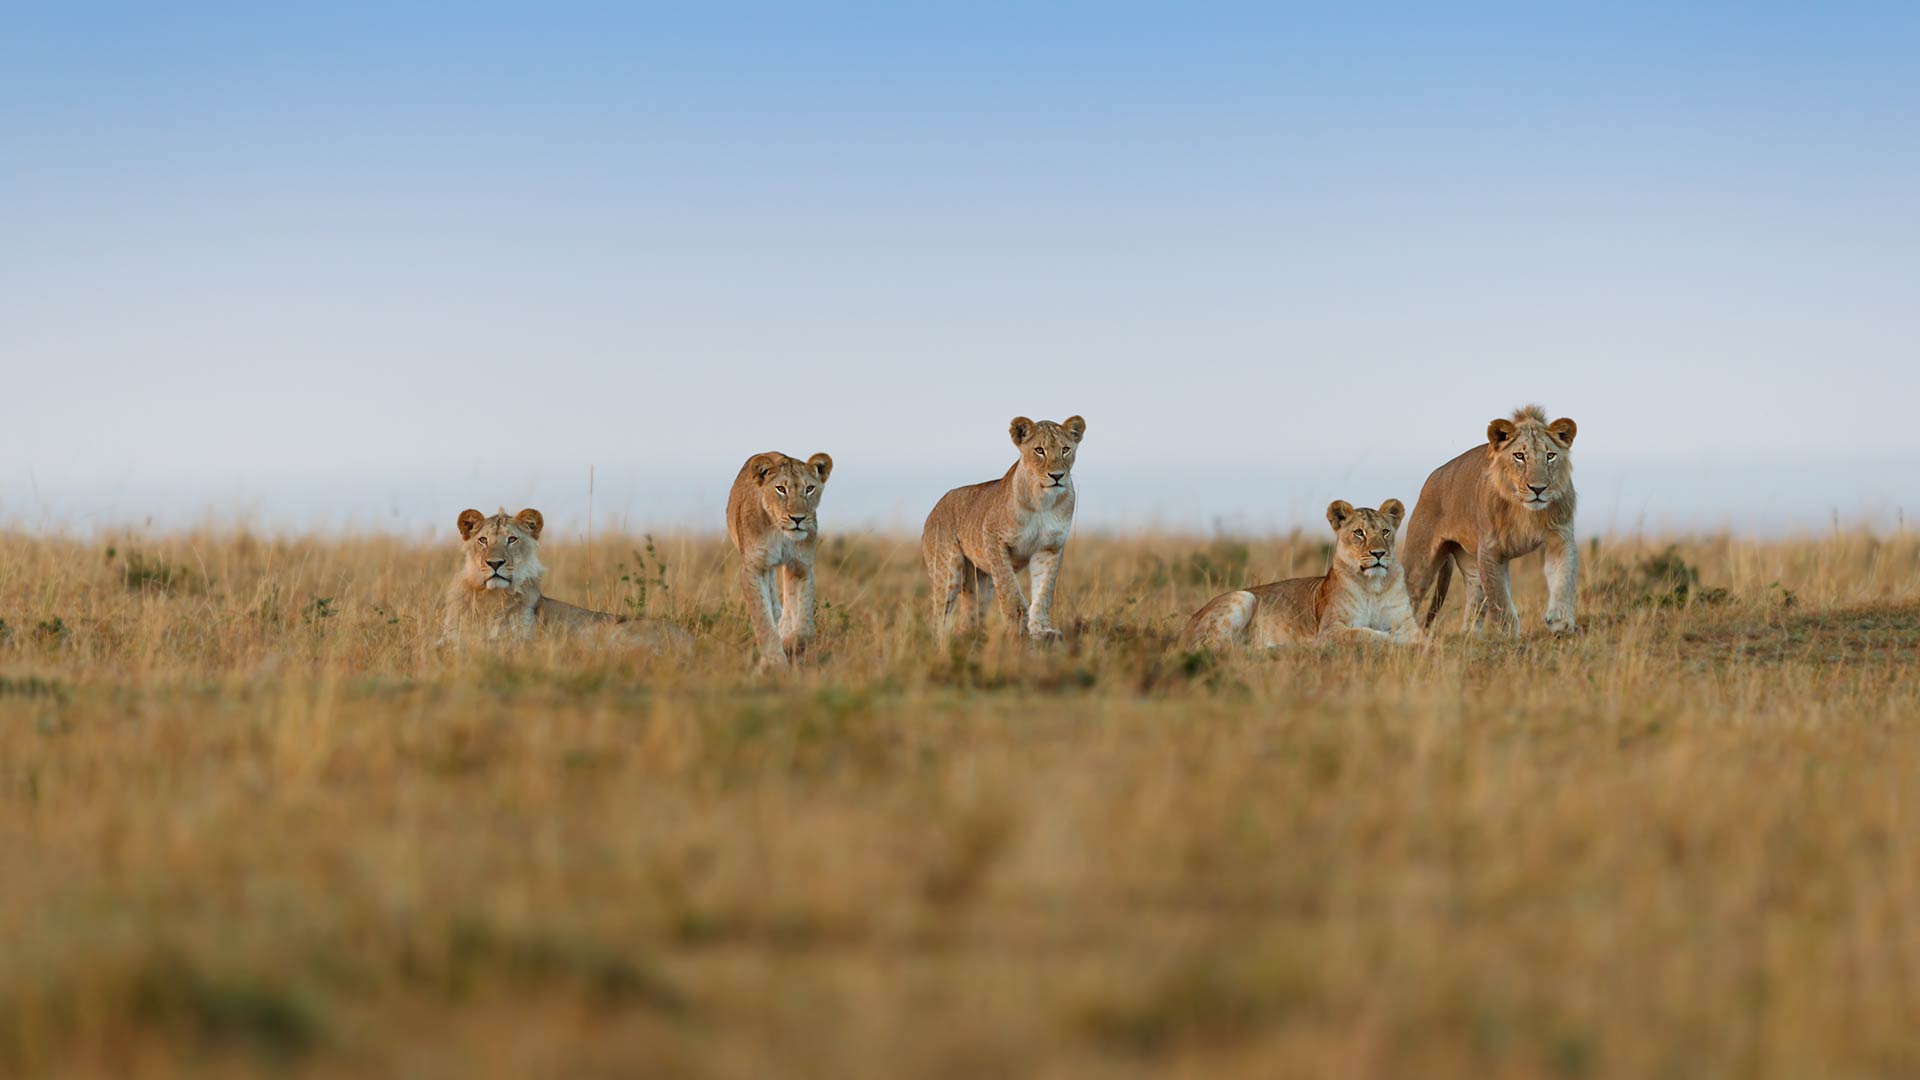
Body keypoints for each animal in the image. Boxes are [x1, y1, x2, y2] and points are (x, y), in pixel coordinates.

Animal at [439, 507, 695, 653]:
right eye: (482, 540)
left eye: (512, 539)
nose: (494, 563)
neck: (491, 597)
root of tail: (689, 640)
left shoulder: (520, 640)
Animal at [725, 447, 833, 664]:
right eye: (781, 489)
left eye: (809, 488)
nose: (798, 518)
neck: (780, 532)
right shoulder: (753, 567)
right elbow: (763, 620)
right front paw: (774, 661)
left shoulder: (802, 565)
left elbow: (805, 625)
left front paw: (791, 644)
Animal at [1167, 499, 1428, 645]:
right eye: (1359, 533)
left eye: (1385, 531)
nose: (1379, 554)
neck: (1374, 586)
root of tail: (1183, 631)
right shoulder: (1329, 630)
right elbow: (1365, 634)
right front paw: (1393, 639)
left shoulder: (1406, 621)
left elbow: (1420, 636)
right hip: (1244, 597)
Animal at [1405, 407, 1582, 634]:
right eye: (1519, 456)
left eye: (1550, 456)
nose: (1538, 489)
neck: (1526, 511)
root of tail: (1434, 476)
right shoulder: (1491, 550)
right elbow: (1501, 601)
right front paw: (1509, 635)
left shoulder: (1559, 537)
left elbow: (1564, 578)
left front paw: (1561, 621)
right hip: (1420, 565)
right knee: (1408, 597)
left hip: (1471, 564)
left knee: (1474, 601)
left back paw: (1469, 636)